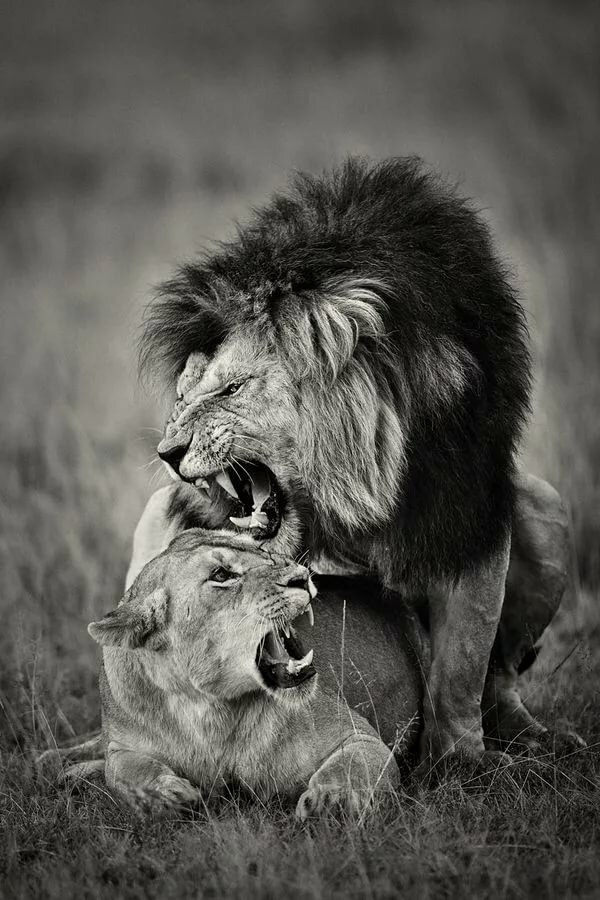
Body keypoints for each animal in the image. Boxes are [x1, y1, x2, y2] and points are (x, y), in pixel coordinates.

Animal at [85, 529, 425, 817]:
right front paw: (166, 796)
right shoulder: (122, 744)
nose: (302, 578)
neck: (209, 711)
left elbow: (353, 766)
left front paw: (331, 800)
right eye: (221, 575)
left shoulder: (359, 737)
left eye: (260, 550)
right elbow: (123, 773)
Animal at [135, 157, 578, 769]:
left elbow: (463, 665)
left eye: (230, 389)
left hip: (542, 505)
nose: (168, 453)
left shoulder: (467, 510)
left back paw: (533, 737)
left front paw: (463, 764)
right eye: (181, 397)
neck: (351, 482)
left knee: (502, 676)